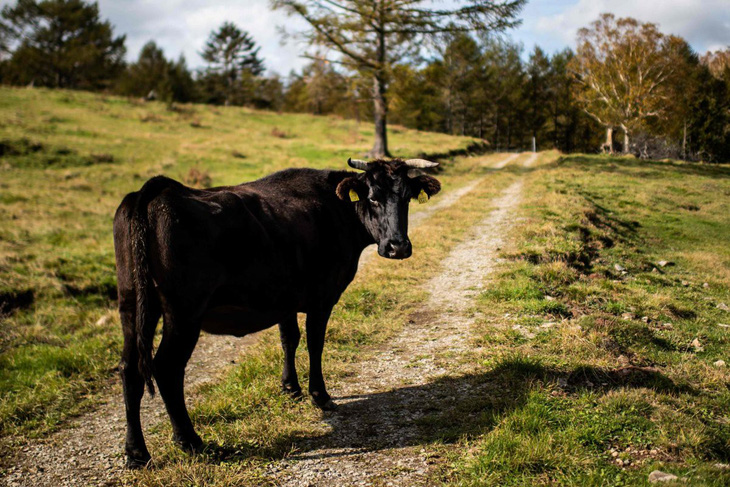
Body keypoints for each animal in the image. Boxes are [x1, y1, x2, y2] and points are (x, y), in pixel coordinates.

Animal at [114, 157, 438, 468]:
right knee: (166, 368)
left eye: (407, 197)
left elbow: (288, 339)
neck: (336, 210)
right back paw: (190, 441)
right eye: (372, 197)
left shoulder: (285, 297)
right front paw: (320, 395)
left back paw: (137, 453)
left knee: (130, 370)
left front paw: (290, 387)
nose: (398, 247)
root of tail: (159, 191)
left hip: (132, 305)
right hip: (183, 313)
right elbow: (314, 344)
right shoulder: (322, 297)